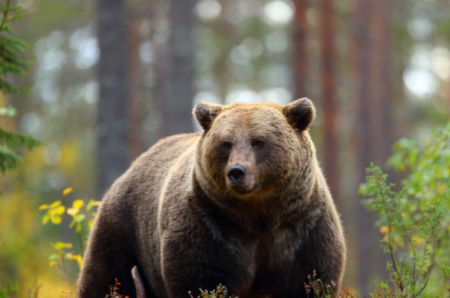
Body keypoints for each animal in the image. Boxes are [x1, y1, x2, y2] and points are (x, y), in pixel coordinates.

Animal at [77, 98, 346, 298]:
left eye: (259, 141)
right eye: (226, 143)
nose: (237, 172)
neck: (259, 215)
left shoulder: (302, 225)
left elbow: (311, 278)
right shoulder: (210, 224)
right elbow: (203, 279)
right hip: (125, 228)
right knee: (105, 276)